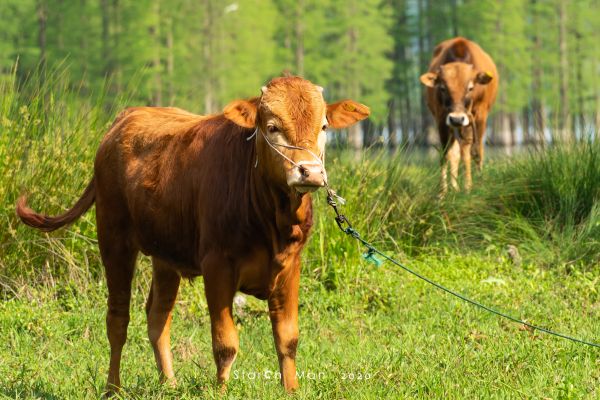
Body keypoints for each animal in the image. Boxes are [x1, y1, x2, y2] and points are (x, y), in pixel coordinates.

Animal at [15, 76, 370, 394]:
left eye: (323, 127)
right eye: (272, 127)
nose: (310, 172)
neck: (271, 218)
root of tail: (126, 117)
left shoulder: (290, 266)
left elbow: (287, 338)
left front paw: (291, 389)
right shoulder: (217, 266)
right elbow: (225, 342)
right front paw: (221, 390)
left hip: (164, 256)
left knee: (157, 316)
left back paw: (169, 384)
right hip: (113, 238)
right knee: (117, 319)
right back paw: (112, 388)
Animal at [420, 37, 500, 194]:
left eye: (470, 87)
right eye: (443, 88)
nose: (456, 118)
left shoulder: (478, 117)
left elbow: (474, 152)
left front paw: (471, 186)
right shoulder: (442, 118)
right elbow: (446, 154)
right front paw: (443, 191)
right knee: (455, 153)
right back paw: (454, 186)